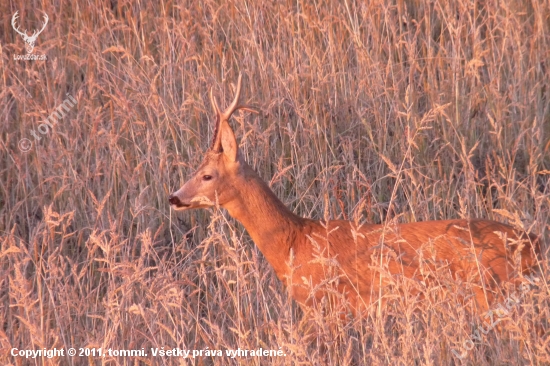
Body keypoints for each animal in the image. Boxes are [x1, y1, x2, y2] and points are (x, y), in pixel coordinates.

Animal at [170, 75, 540, 314]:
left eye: (207, 174)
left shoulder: (328, 304)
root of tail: (533, 243)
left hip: (491, 293)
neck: (295, 241)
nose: (174, 197)